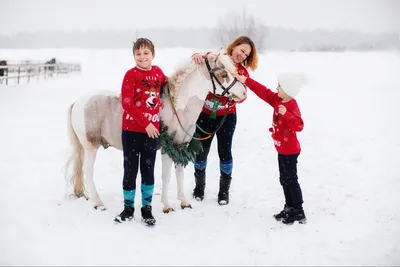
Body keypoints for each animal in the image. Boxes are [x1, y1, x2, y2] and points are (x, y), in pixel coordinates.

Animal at [65, 52, 247, 214]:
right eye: (223, 74)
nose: (244, 92)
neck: (178, 108)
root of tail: (77, 102)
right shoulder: (168, 147)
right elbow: (166, 176)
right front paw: (167, 206)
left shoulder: (181, 145)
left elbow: (179, 173)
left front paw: (184, 202)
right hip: (91, 147)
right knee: (88, 171)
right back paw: (98, 203)